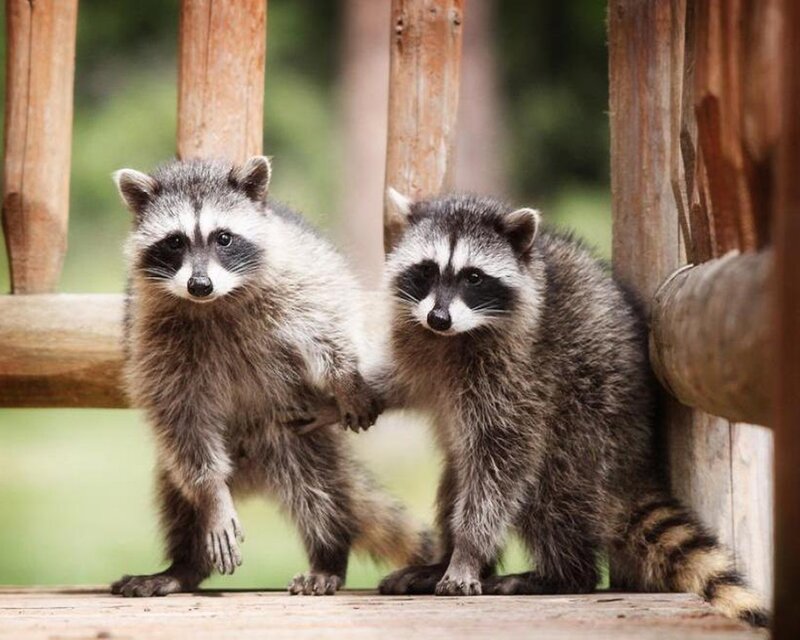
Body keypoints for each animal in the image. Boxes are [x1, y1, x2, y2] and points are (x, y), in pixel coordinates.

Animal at [110, 157, 434, 597]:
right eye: (174, 242)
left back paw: (328, 555)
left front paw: (346, 378)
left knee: (321, 495)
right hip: (194, 464)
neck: (215, 302)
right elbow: (179, 413)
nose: (199, 285)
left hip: (296, 437)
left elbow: (328, 320)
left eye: (223, 238)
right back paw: (184, 564)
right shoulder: (153, 330)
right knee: (180, 495)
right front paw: (212, 494)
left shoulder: (299, 271)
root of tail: (251, 474)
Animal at [376, 190, 768, 627]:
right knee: (457, 480)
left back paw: (561, 573)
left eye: (473, 277)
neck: (454, 337)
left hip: (588, 425)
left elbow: (504, 459)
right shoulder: (421, 342)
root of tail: (634, 463)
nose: (439, 317)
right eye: (426, 270)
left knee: (548, 491)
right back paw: (443, 561)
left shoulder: (521, 375)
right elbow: (408, 384)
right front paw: (367, 390)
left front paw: (468, 552)